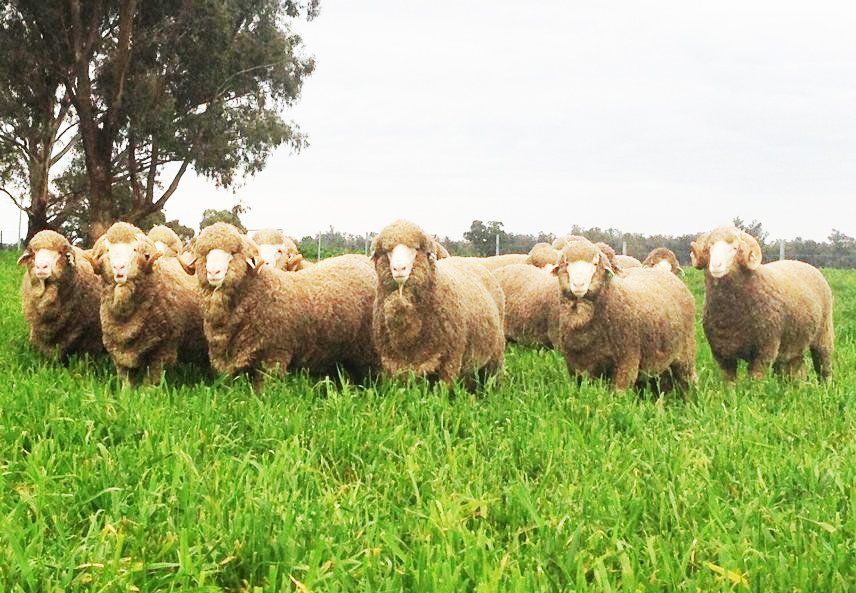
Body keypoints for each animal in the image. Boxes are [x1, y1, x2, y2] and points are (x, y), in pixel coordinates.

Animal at [87, 222, 207, 384]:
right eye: (107, 250)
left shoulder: (162, 351)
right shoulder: (119, 353)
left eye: (134, 249)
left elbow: (150, 383)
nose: (119, 268)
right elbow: (126, 381)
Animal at [371, 220, 505, 386]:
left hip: (495, 352)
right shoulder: (393, 362)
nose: (399, 268)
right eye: (387, 251)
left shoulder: (451, 359)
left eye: (416, 249)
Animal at [548, 237, 697, 391]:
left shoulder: (627, 360)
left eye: (595, 263)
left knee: (689, 379)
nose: (578, 285)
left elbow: (618, 392)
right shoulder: (576, 367)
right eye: (566, 263)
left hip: (686, 352)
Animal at [691, 226, 834, 380]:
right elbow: (729, 382)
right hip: (792, 345)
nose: (716, 266)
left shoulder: (764, 352)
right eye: (709, 248)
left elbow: (755, 380)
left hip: (824, 336)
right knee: (794, 371)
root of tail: (803, 263)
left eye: (735, 248)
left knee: (824, 367)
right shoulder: (723, 356)